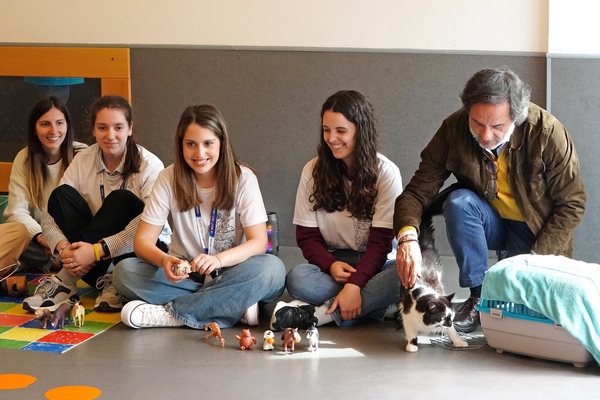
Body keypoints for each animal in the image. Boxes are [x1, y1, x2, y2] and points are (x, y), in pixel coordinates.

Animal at [399, 209, 468, 352]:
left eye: (451, 316)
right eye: (442, 317)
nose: (450, 323)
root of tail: (423, 245)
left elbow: (452, 332)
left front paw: (458, 341)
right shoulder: (407, 316)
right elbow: (411, 333)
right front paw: (412, 345)